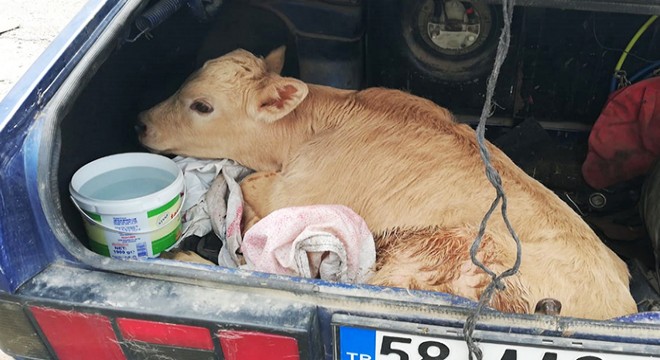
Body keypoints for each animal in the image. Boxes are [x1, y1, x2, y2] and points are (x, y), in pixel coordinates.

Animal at [141, 46, 640, 320]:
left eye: (202, 106)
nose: (140, 122)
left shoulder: (292, 192)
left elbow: (249, 190)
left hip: (439, 256)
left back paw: (185, 255)